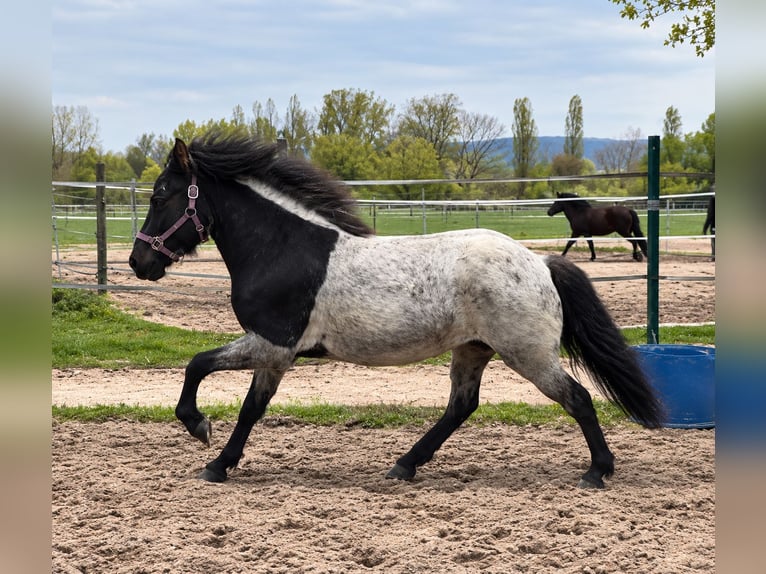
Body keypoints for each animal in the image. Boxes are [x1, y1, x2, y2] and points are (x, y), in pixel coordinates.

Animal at [129, 134, 664, 489]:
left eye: (160, 195)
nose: (139, 262)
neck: (284, 249)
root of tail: (540, 262)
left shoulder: (272, 345)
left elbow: (208, 375)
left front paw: (205, 440)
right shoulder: (274, 354)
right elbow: (240, 398)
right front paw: (217, 456)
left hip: (526, 354)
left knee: (578, 398)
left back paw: (597, 471)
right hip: (474, 350)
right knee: (462, 406)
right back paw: (405, 464)